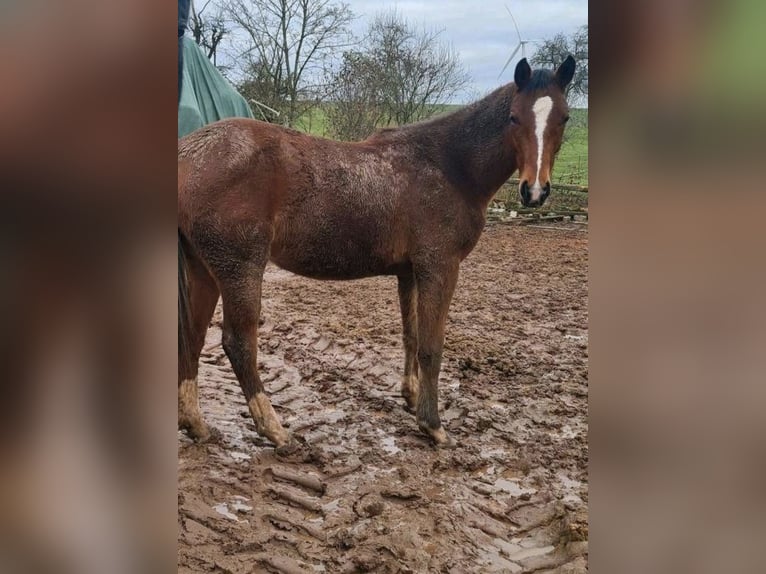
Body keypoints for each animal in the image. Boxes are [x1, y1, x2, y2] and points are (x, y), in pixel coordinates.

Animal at [180, 57, 576, 450]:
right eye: (514, 117)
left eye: (565, 118)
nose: (534, 191)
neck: (448, 166)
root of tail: (189, 152)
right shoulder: (440, 266)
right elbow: (431, 345)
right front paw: (432, 425)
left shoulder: (410, 271)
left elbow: (411, 335)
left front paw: (412, 397)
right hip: (239, 268)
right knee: (238, 343)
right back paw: (274, 429)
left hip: (203, 269)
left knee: (194, 336)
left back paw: (195, 423)